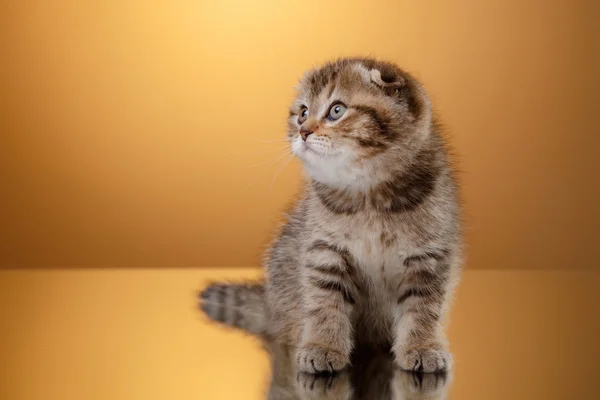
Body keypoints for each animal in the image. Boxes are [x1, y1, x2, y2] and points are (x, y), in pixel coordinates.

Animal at [199, 57, 462, 376]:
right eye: (302, 113)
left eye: (336, 110)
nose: (303, 131)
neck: (367, 196)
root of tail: (269, 306)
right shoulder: (324, 250)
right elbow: (325, 302)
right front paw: (323, 347)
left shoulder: (429, 257)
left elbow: (423, 307)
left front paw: (422, 347)